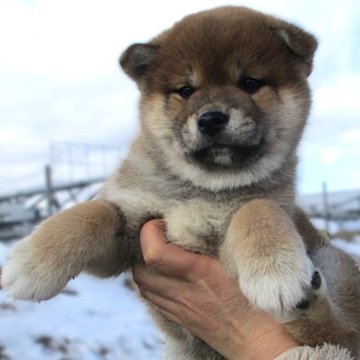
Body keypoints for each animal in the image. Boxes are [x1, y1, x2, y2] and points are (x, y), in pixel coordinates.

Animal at [2, 6, 360, 360]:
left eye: (249, 83)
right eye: (186, 90)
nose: (211, 119)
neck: (205, 188)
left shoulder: (236, 242)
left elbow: (258, 207)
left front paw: (276, 272)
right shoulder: (128, 240)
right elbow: (94, 212)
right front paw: (31, 262)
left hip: (333, 262)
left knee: (343, 333)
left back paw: (306, 302)